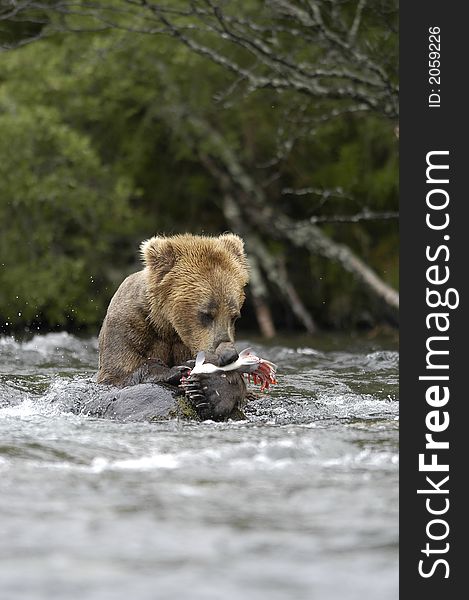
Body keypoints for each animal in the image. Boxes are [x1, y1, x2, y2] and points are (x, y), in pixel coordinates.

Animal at [94, 232, 249, 420]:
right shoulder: (129, 324)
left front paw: (208, 391)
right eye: (206, 314)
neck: (168, 327)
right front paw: (178, 369)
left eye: (234, 316)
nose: (228, 355)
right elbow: (119, 372)